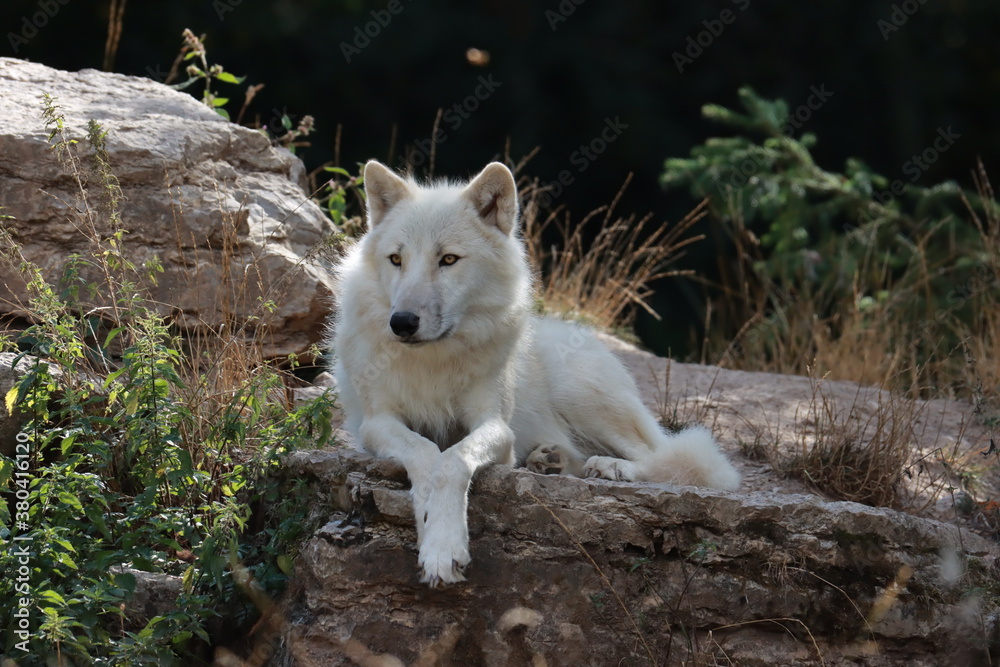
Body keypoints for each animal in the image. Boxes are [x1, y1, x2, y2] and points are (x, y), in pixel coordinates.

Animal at [330, 160, 740, 586]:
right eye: (396, 259)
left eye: (448, 260)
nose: (402, 322)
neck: (433, 361)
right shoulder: (376, 423)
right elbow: (426, 451)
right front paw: (433, 536)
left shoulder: (496, 425)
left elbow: (454, 458)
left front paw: (442, 546)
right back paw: (549, 460)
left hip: (579, 393)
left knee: (677, 460)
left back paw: (611, 466)